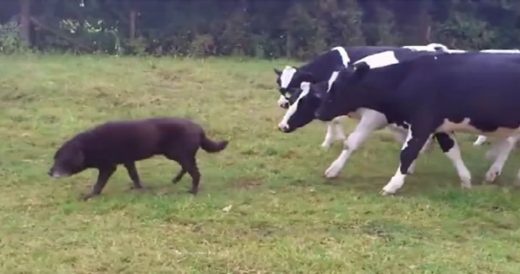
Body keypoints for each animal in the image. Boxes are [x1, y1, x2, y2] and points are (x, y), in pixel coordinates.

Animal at [48, 117, 228, 199]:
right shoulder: (129, 161)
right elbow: (134, 176)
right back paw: (176, 180)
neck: (89, 145)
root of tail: (199, 128)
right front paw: (138, 188)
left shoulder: (108, 167)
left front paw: (90, 196)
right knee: (188, 168)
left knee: (196, 173)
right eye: (54, 158)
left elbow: (99, 184)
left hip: (180, 154)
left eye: (61, 159)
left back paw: (193, 191)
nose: (49, 172)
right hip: (178, 155)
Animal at [314, 50, 520, 195]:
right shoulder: (441, 127)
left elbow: (407, 153)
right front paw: (466, 180)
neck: (405, 79)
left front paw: (392, 185)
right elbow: (452, 152)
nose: (319, 112)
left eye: (338, 87)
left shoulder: (422, 123)